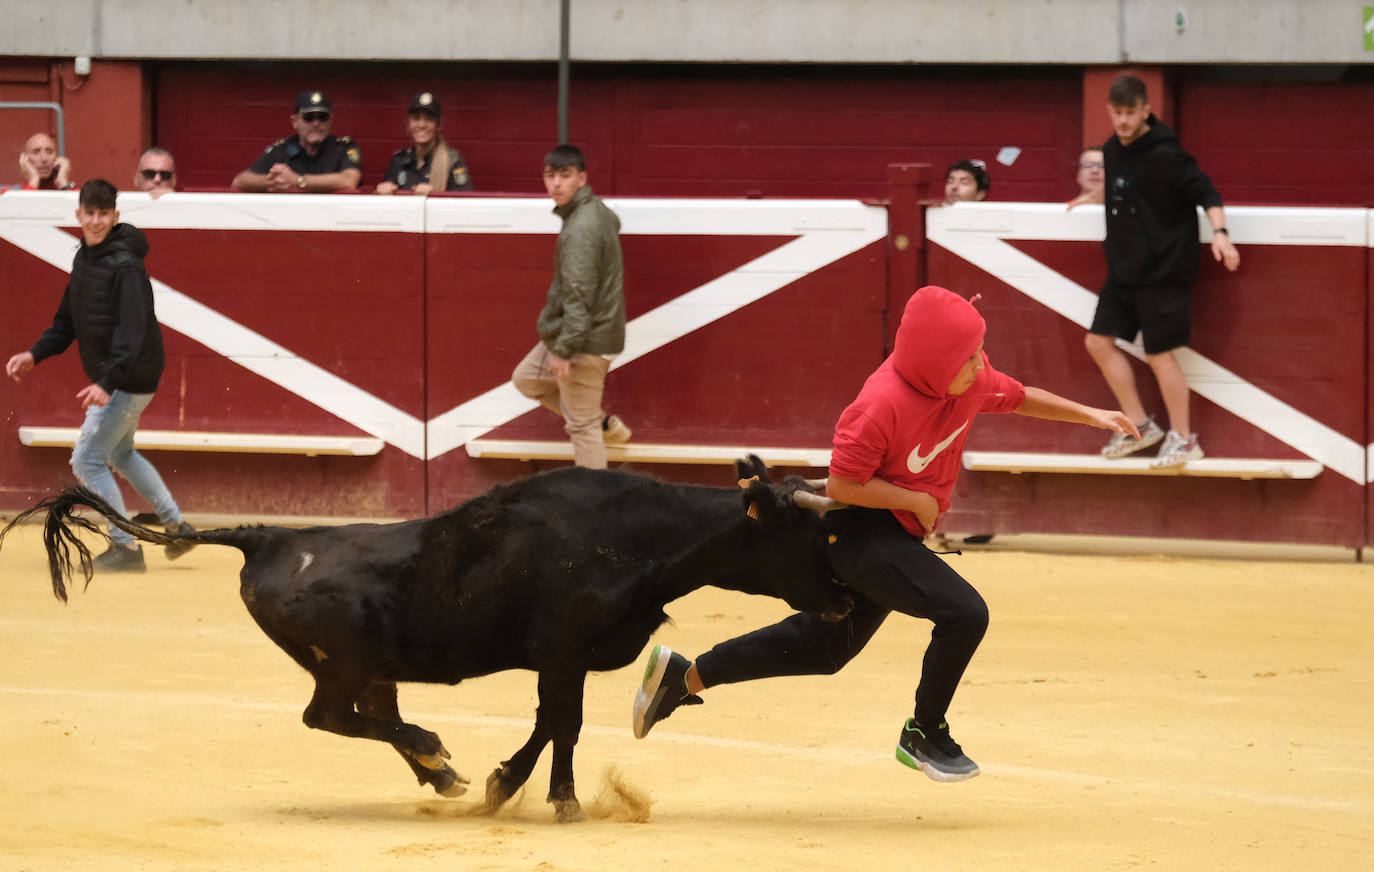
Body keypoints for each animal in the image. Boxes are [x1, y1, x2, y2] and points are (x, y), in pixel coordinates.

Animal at [2, 461, 846, 823]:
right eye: (809, 536)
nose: (844, 603)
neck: (634, 538)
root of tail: (269, 536)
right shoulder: (564, 648)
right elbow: (564, 722)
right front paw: (558, 799)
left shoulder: (562, 656)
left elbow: (550, 722)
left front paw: (506, 782)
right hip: (345, 662)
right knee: (332, 717)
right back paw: (437, 756)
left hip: (371, 666)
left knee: (364, 717)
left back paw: (440, 772)